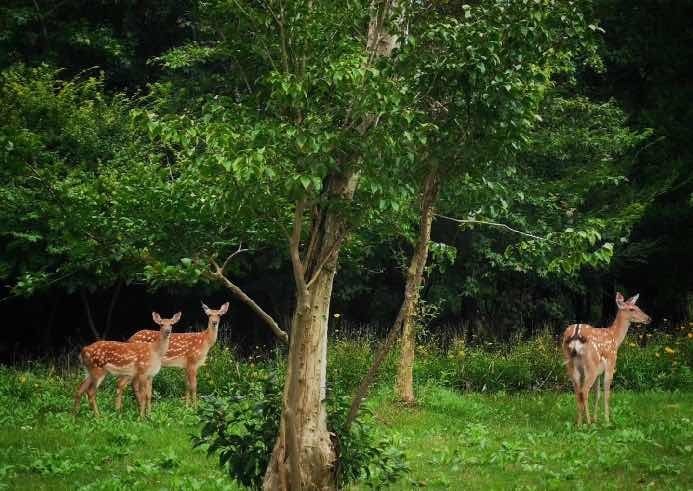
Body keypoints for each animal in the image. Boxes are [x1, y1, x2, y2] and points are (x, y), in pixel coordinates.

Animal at [560, 292, 652, 426]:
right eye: (632, 309)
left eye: (638, 307)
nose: (648, 318)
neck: (615, 338)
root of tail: (576, 334)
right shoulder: (611, 363)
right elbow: (607, 393)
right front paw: (607, 420)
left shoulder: (599, 371)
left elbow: (597, 393)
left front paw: (595, 418)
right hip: (591, 364)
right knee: (584, 391)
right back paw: (588, 423)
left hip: (571, 364)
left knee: (578, 392)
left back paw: (579, 422)